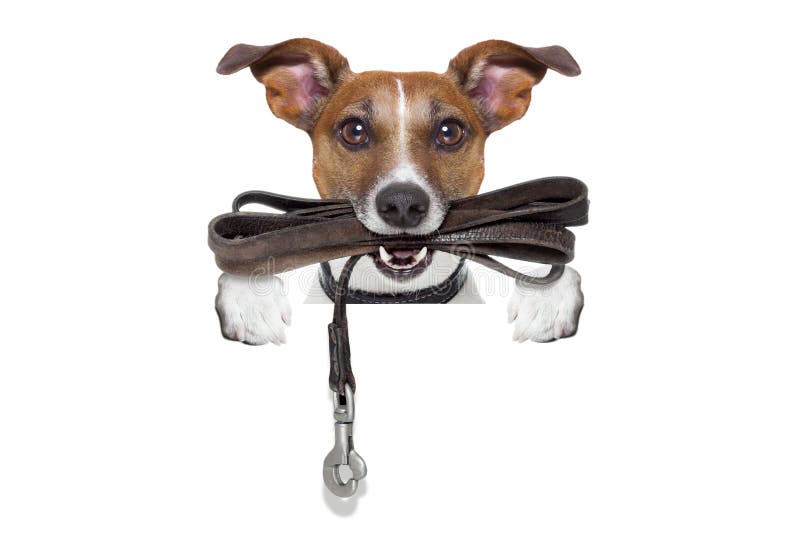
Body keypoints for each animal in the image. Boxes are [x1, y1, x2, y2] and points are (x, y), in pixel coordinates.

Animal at [216, 38, 584, 348]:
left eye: (449, 132)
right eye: (354, 131)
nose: (403, 204)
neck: (395, 296)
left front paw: (548, 300)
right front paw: (250, 301)